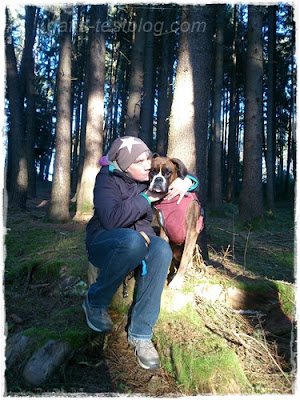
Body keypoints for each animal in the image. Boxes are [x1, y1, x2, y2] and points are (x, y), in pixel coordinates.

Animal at [149, 155, 204, 290]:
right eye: (152, 171)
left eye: (168, 172)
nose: (158, 179)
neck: (171, 200)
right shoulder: (163, 230)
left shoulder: (191, 232)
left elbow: (185, 257)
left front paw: (177, 280)